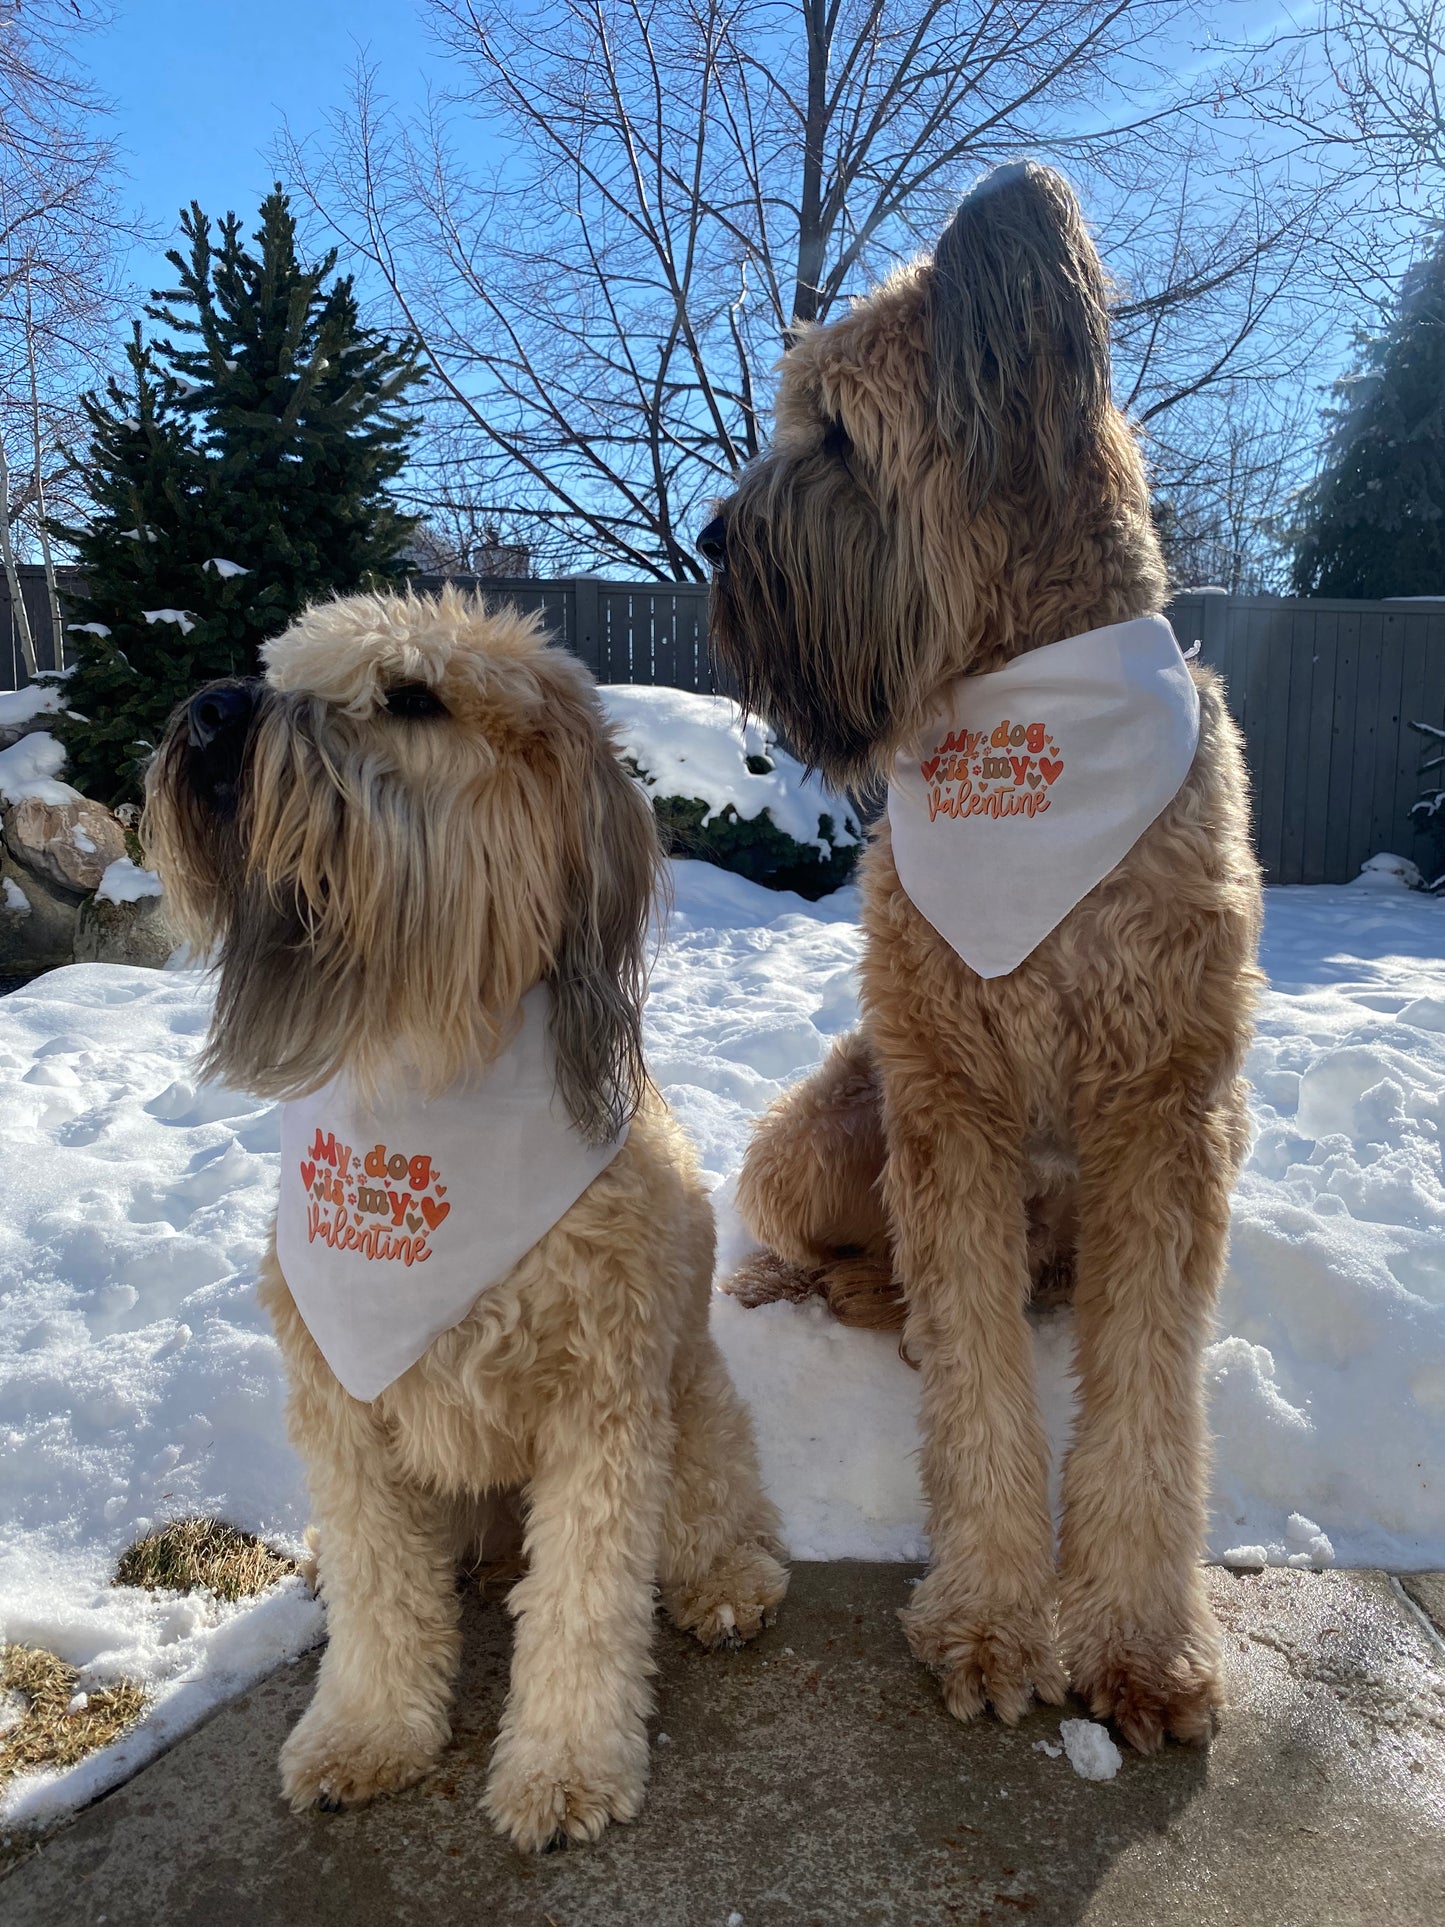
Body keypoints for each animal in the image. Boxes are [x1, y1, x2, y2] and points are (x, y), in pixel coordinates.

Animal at [144, 589, 793, 1849]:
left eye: (411, 696)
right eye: (275, 668)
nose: (208, 715)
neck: (423, 1071)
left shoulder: (602, 1400)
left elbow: (582, 1601)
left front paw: (565, 1767)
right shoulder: (342, 1412)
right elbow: (378, 1592)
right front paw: (365, 1731)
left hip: (690, 1407)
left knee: (711, 1519)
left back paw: (728, 1585)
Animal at [701, 165, 1263, 1757]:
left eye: (835, 433)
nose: (709, 542)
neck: (1024, 703)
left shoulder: (1165, 1109)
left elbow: (1147, 1401)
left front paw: (1140, 1644)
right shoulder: (946, 1093)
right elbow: (975, 1378)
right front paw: (990, 1619)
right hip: (835, 1116)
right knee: (839, 1255)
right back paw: (827, 1296)